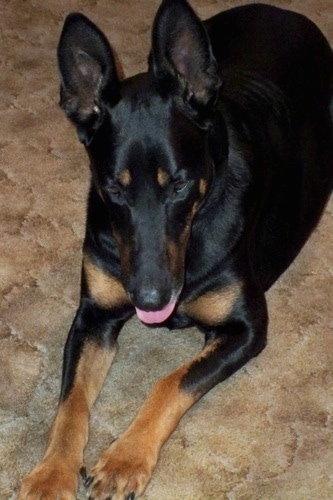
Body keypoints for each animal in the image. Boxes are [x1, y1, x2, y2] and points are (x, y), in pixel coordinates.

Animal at [19, 0, 332, 498]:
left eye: (180, 185)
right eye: (115, 189)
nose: (150, 300)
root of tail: (282, 10)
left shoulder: (246, 328)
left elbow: (170, 382)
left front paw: (125, 459)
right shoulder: (93, 316)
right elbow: (69, 405)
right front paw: (51, 474)